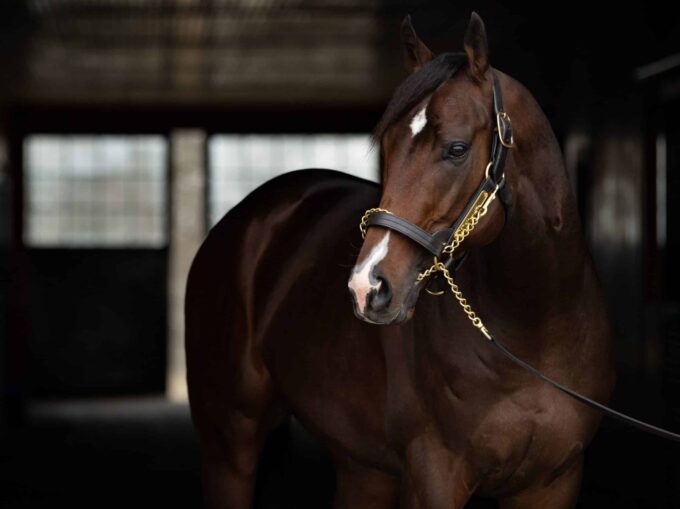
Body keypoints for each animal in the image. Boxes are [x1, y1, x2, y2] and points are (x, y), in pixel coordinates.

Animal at [186, 11, 616, 508]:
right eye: (388, 147)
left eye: (456, 148)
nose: (367, 286)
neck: (535, 328)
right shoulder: (434, 476)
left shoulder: (553, 482)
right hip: (229, 444)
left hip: (363, 467)